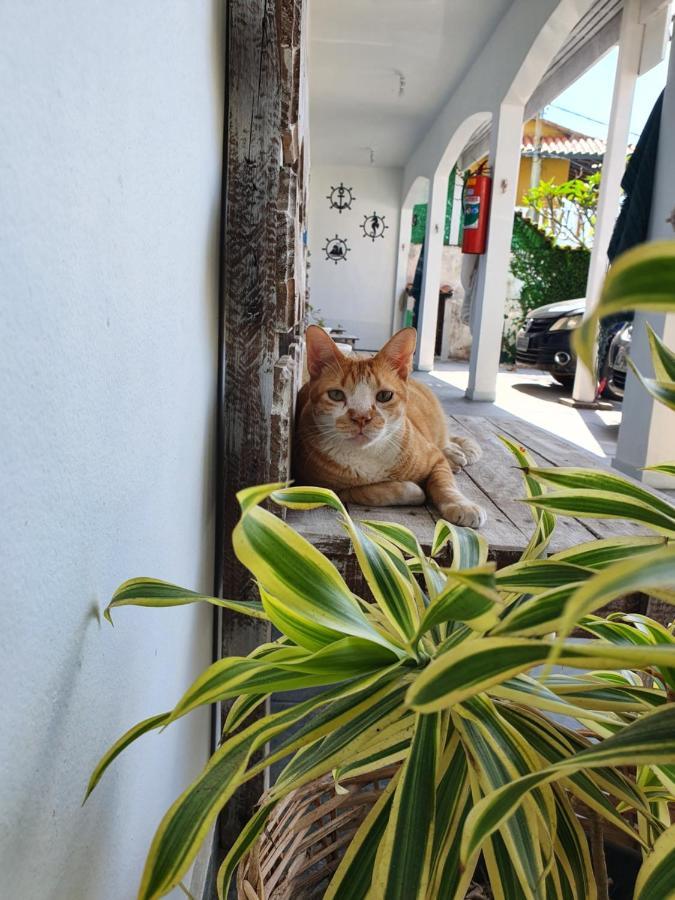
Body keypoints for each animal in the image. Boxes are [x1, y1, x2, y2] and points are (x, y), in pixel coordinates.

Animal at [296, 326, 486, 528]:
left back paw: (455, 454)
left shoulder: (435, 459)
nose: (362, 417)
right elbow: (372, 491)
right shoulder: (324, 488)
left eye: (384, 396)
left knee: (444, 442)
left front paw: (461, 504)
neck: (367, 456)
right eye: (336, 395)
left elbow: (445, 483)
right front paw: (411, 489)